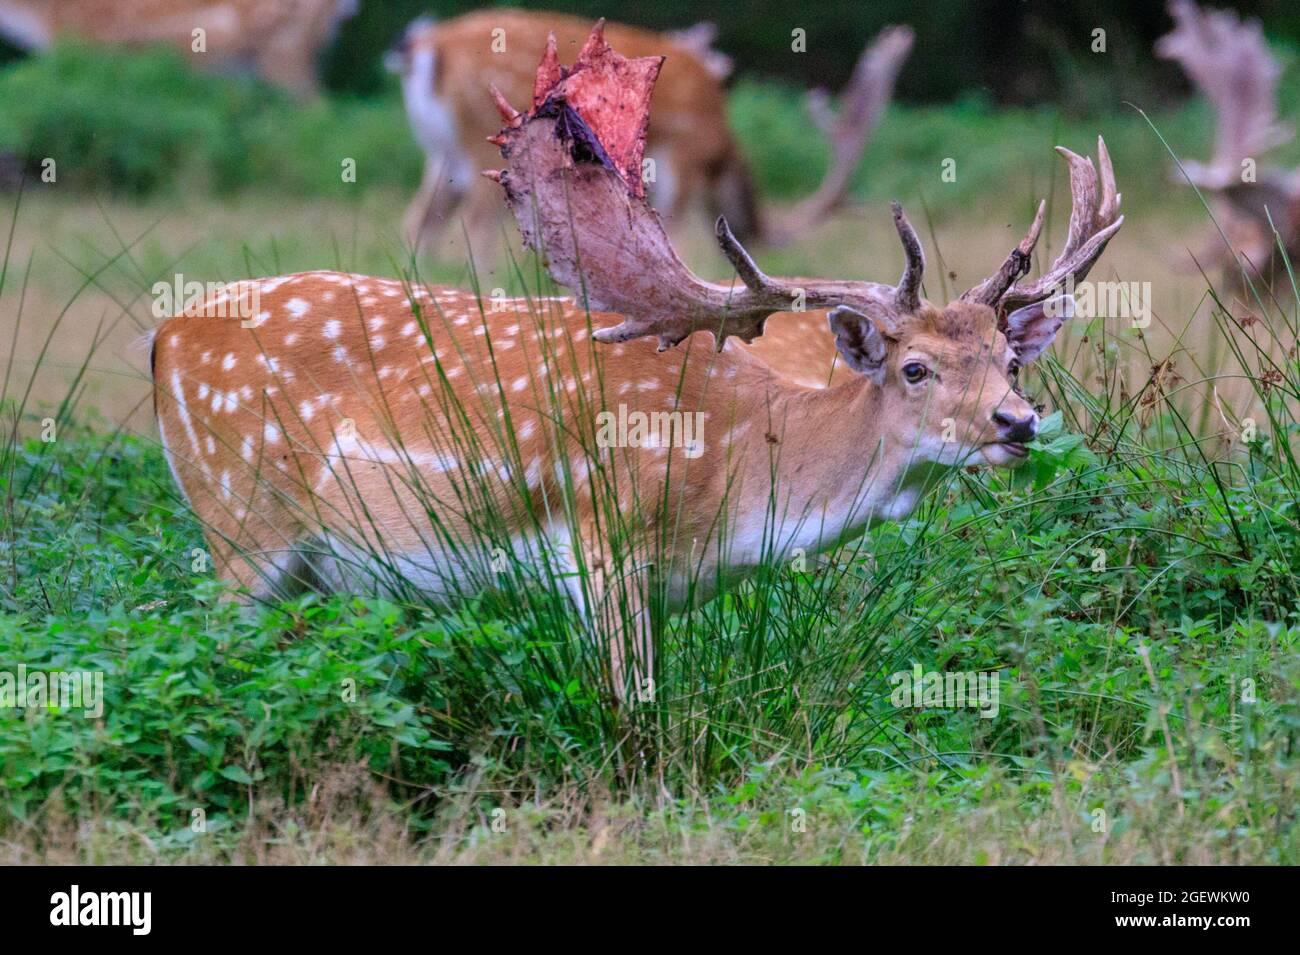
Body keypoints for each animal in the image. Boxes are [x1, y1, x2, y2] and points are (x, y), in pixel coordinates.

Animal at [384, 9, 915, 261]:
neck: (721, 145)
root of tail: (421, 48)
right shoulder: (684, 155)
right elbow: (678, 237)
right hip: (482, 136)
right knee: (476, 228)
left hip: (443, 155)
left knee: (419, 223)